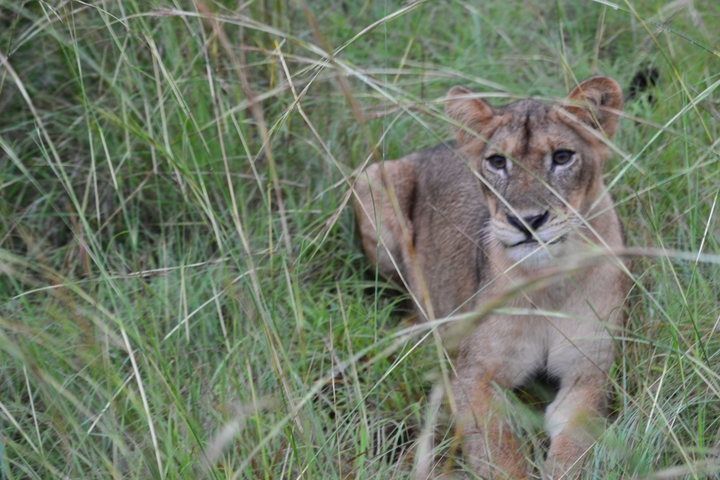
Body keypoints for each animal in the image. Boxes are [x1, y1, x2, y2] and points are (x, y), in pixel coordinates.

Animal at [353, 76, 632, 478]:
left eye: (562, 157)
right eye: (498, 162)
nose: (527, 221)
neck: (549, 280)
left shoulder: (588, 372)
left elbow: (573, 449)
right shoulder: (473, 375)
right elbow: (498, 452)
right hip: (374, 181)